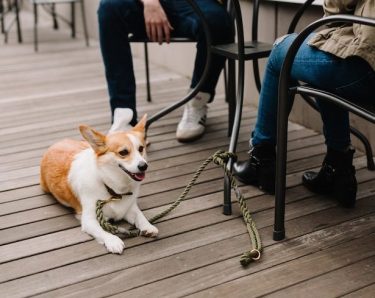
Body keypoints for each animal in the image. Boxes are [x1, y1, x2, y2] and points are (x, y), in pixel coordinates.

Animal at [40, 109, 158, 254]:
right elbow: (102, 232)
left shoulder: (130, 208)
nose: (143, 166)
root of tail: (55, 143)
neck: (113, 188)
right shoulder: (88, 220)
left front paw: (148, 226)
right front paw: (113, 241)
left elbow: (140, 216)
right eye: (123, 152)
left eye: (141, 149)